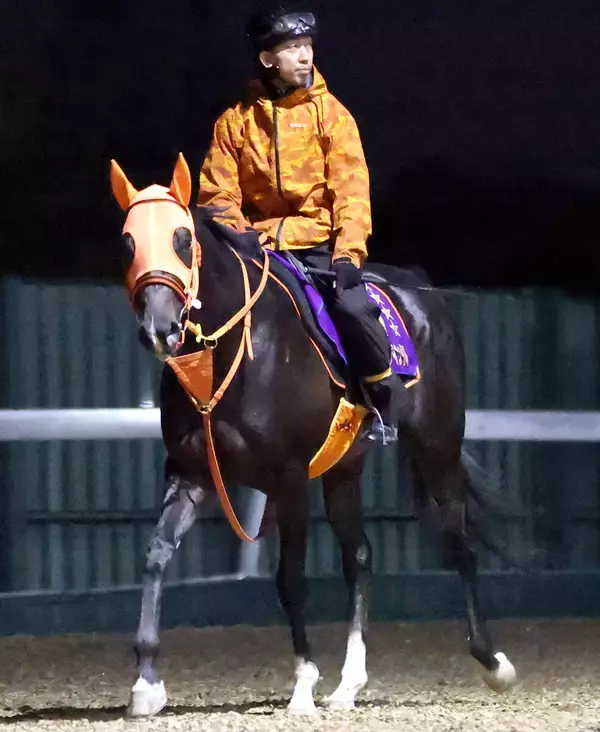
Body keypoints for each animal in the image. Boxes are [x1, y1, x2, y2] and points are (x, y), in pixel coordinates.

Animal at [108, 152, 517, 717]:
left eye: (182, 238)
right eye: (127, 242)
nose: (161, 329)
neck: (235, 351)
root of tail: (418, 290)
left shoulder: (289, 479)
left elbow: (290, 579)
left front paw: (303, 683)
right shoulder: (191, 475)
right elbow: (155, 557)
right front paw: (146, 682)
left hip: (436, 445)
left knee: (460, 543)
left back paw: (493, 661)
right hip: (345, 466)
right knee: (360, 557)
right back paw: (349, 684)